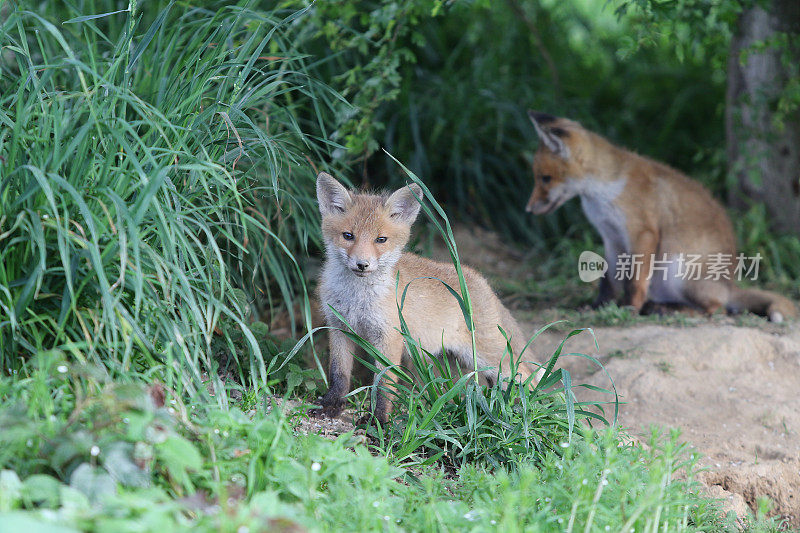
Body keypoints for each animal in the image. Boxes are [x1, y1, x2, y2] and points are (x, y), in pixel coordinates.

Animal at [312, 172, 536, 422]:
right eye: (348, 236)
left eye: (381, 240)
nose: (362, 264)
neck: (357, 298)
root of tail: (482, 281)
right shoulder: (339, 328)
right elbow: (338, 375)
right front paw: (330, 405)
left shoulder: (389, 337)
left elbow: (384, 384)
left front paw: (377, 420)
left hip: (487, 356)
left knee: (527, 375)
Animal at [524, 110, 792, 322]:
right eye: (537, 177)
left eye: (545, 178)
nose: (528, 209)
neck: (604, 191)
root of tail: (730, 285)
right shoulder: (612, 237)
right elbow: (608, 281)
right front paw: (599, 307)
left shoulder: (642, 232)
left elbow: (634, 281)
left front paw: (628, 309)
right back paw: (658, 307)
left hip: (678, 271)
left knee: (718, 309)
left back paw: (671, 310)